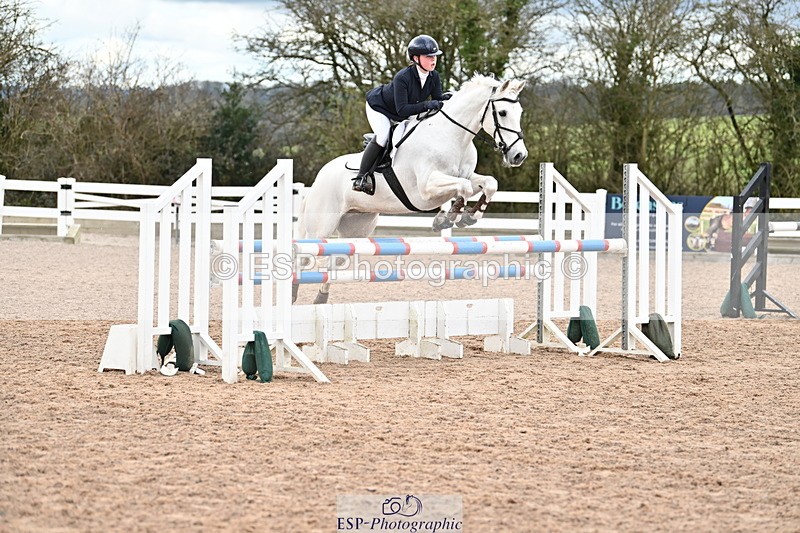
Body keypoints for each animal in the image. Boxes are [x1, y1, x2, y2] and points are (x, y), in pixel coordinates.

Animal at [296, 74, 529, 304]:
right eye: (502, 112)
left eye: (520, 112)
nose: (519, 156)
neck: (452, 136)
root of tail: (319, 178)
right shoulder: (426, 188)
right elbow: (464, 188)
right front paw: (448, 218)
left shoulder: (466, 176)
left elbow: (489, 183)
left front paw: (469, 216)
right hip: (320, 228)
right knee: (304, 257)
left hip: (356, 228)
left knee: (334, 262)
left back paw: (320, 299)